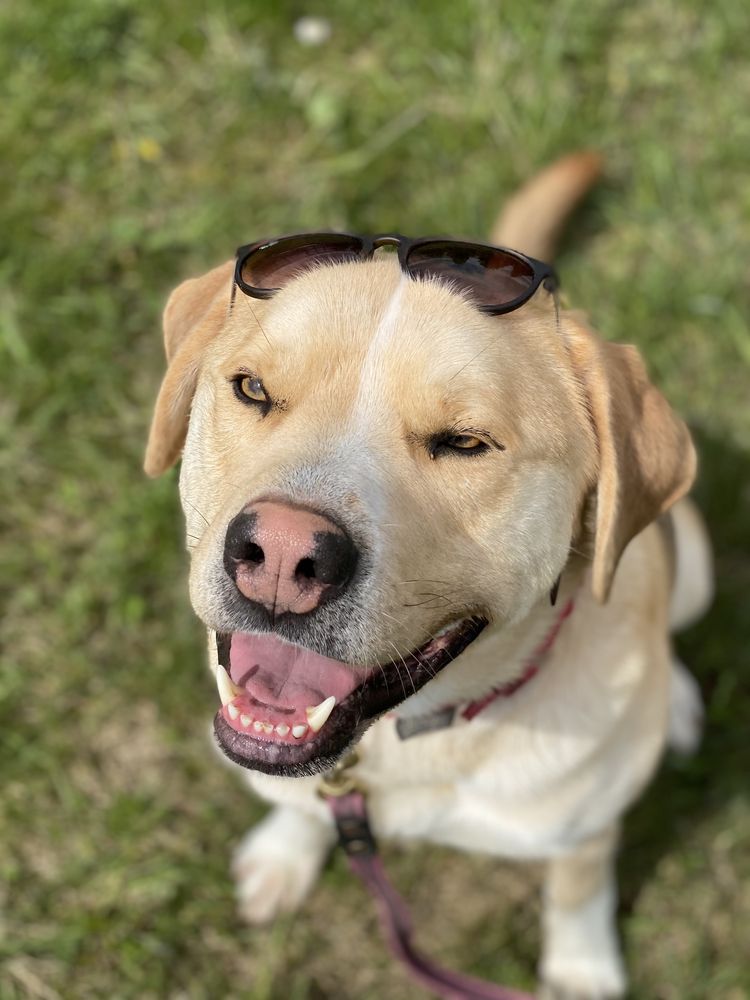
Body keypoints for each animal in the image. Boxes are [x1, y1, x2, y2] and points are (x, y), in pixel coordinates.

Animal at [144, 152, 712, 996]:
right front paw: (285, 852)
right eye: (253, 390)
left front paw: (580, 969)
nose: (281, 553)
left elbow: (578, 893)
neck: (407, 743)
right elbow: (302, 803)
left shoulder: (581, 835)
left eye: (464, 442)